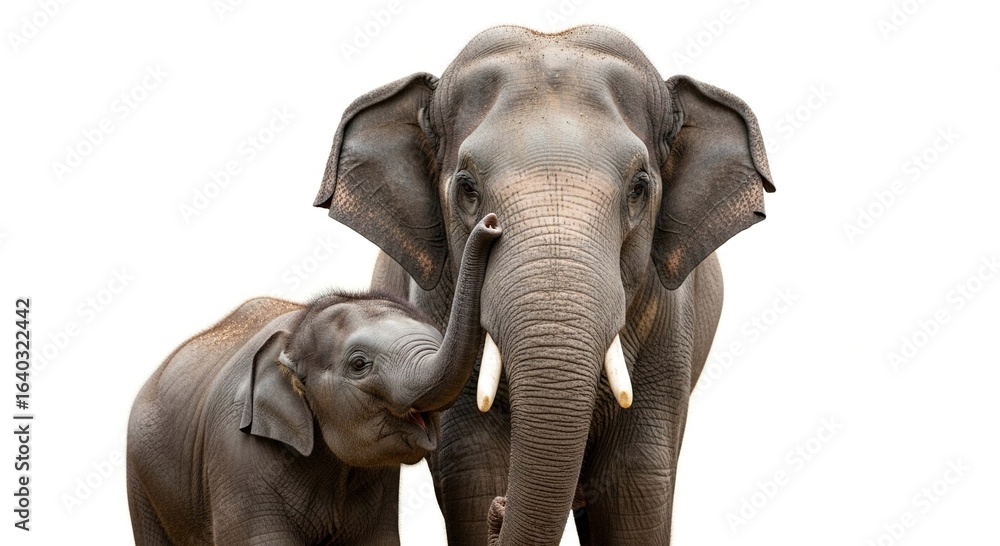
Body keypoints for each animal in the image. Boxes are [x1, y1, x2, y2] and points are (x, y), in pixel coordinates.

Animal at [315, 25, 774, 545]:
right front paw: (489, 496)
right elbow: (471, 468)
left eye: (639, 187)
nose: (501, 508)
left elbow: (635, 487)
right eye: (467, 187)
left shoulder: (670, 331)